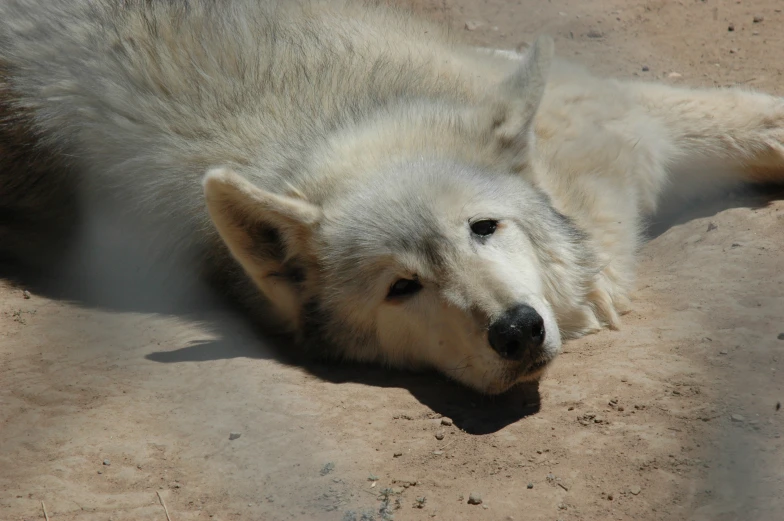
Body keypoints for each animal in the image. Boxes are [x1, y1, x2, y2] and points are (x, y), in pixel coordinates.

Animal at [1, 0, 784, 390]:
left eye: (483, 227)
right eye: (401, 288)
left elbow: (739, 119)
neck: (335, 116)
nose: (516, 330)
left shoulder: (613, 119)